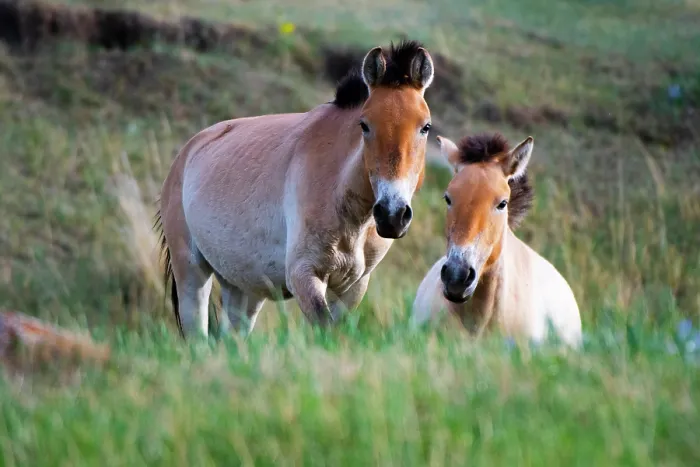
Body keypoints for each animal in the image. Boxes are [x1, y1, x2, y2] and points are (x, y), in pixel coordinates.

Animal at [155, 40, 435, 337]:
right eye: (364, 125)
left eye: (425, 127)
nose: (392, 215)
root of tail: (185, 154)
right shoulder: (304, 276)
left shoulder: (352, 287)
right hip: (191, 274)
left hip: (242, 288)